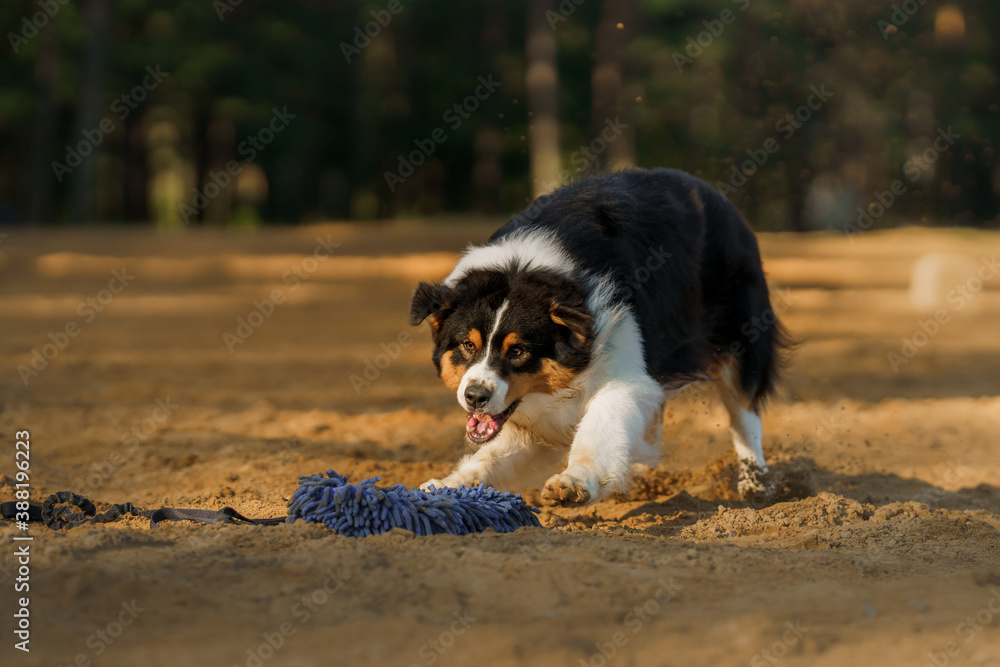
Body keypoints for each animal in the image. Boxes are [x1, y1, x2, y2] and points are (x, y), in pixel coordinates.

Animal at [410, 167, 784, 506]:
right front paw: (445, 486)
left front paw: (572, 483)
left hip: (741, 326)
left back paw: (756, 484)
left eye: (517, 351)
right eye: (467, 345)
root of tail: (717, 197)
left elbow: (605, 416)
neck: (524, 266)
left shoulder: (624, 350)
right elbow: (494, 453)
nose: (474, 396)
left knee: (743, 406)